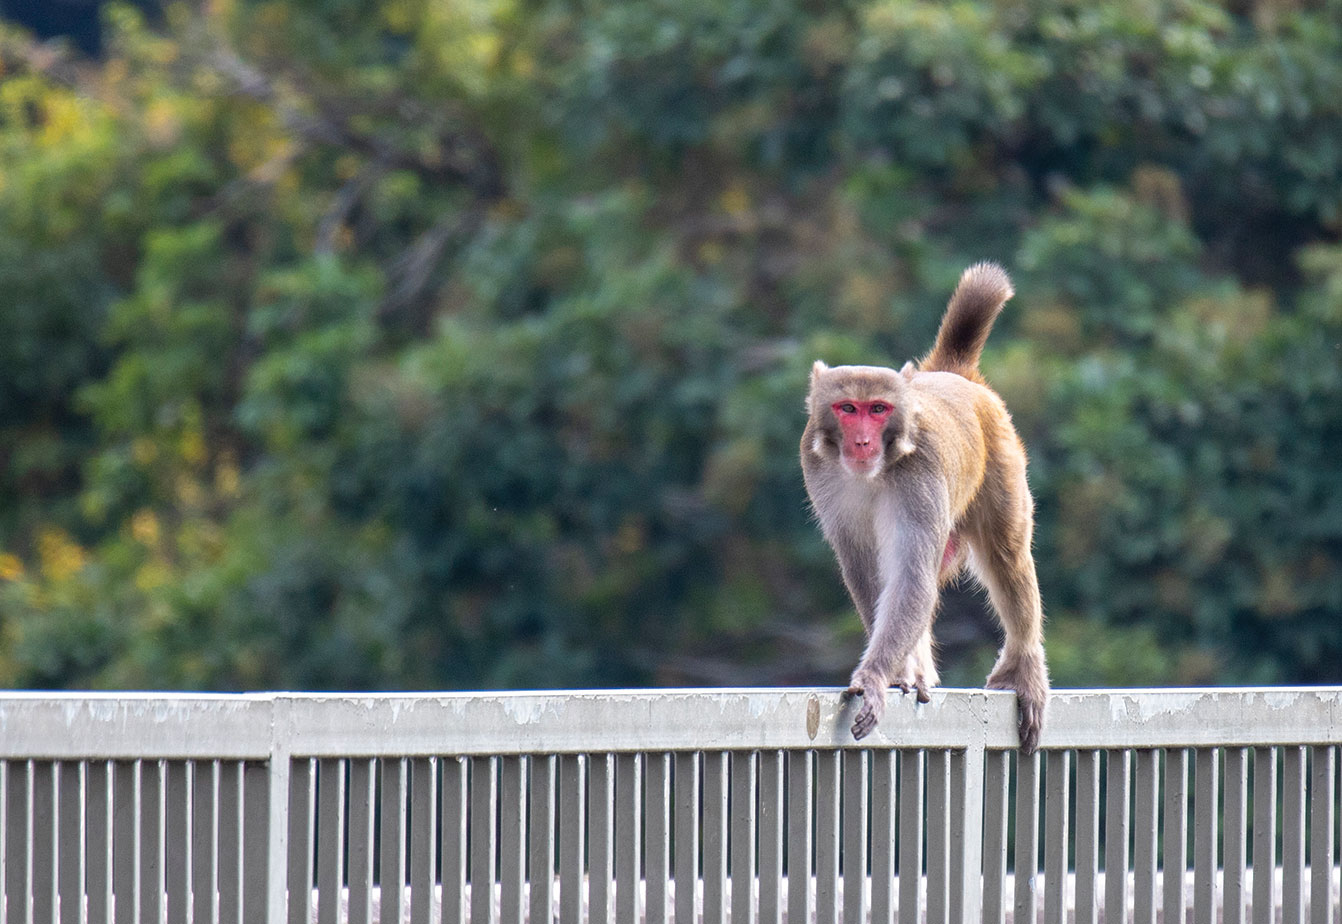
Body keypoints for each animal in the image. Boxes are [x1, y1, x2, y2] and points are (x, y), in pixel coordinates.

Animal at [794, 260, 1046, 751]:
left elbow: (911, 574)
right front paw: (898, 673)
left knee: (1006, 557)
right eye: (848, 408)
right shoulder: (818, 472)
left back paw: (1023, 668)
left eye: (878, 409)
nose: (862, 442)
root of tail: (955, 376)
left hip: (1003, 460)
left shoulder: (921, 477)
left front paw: (874, 676)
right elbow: (867, 570)